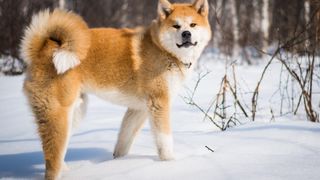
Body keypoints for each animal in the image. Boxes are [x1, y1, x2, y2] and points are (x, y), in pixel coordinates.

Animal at [19, 0, 210, 178]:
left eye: (193, 25)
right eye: (176, 25)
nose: (186, 34)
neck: (162, 49)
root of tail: (41, 48)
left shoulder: (138, 109)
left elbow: (124, 140)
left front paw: (117, 162)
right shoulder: (159, 103)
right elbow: (164, 140)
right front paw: (170, 163)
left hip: (74, 113)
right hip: (58, 115)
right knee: (52, 161)